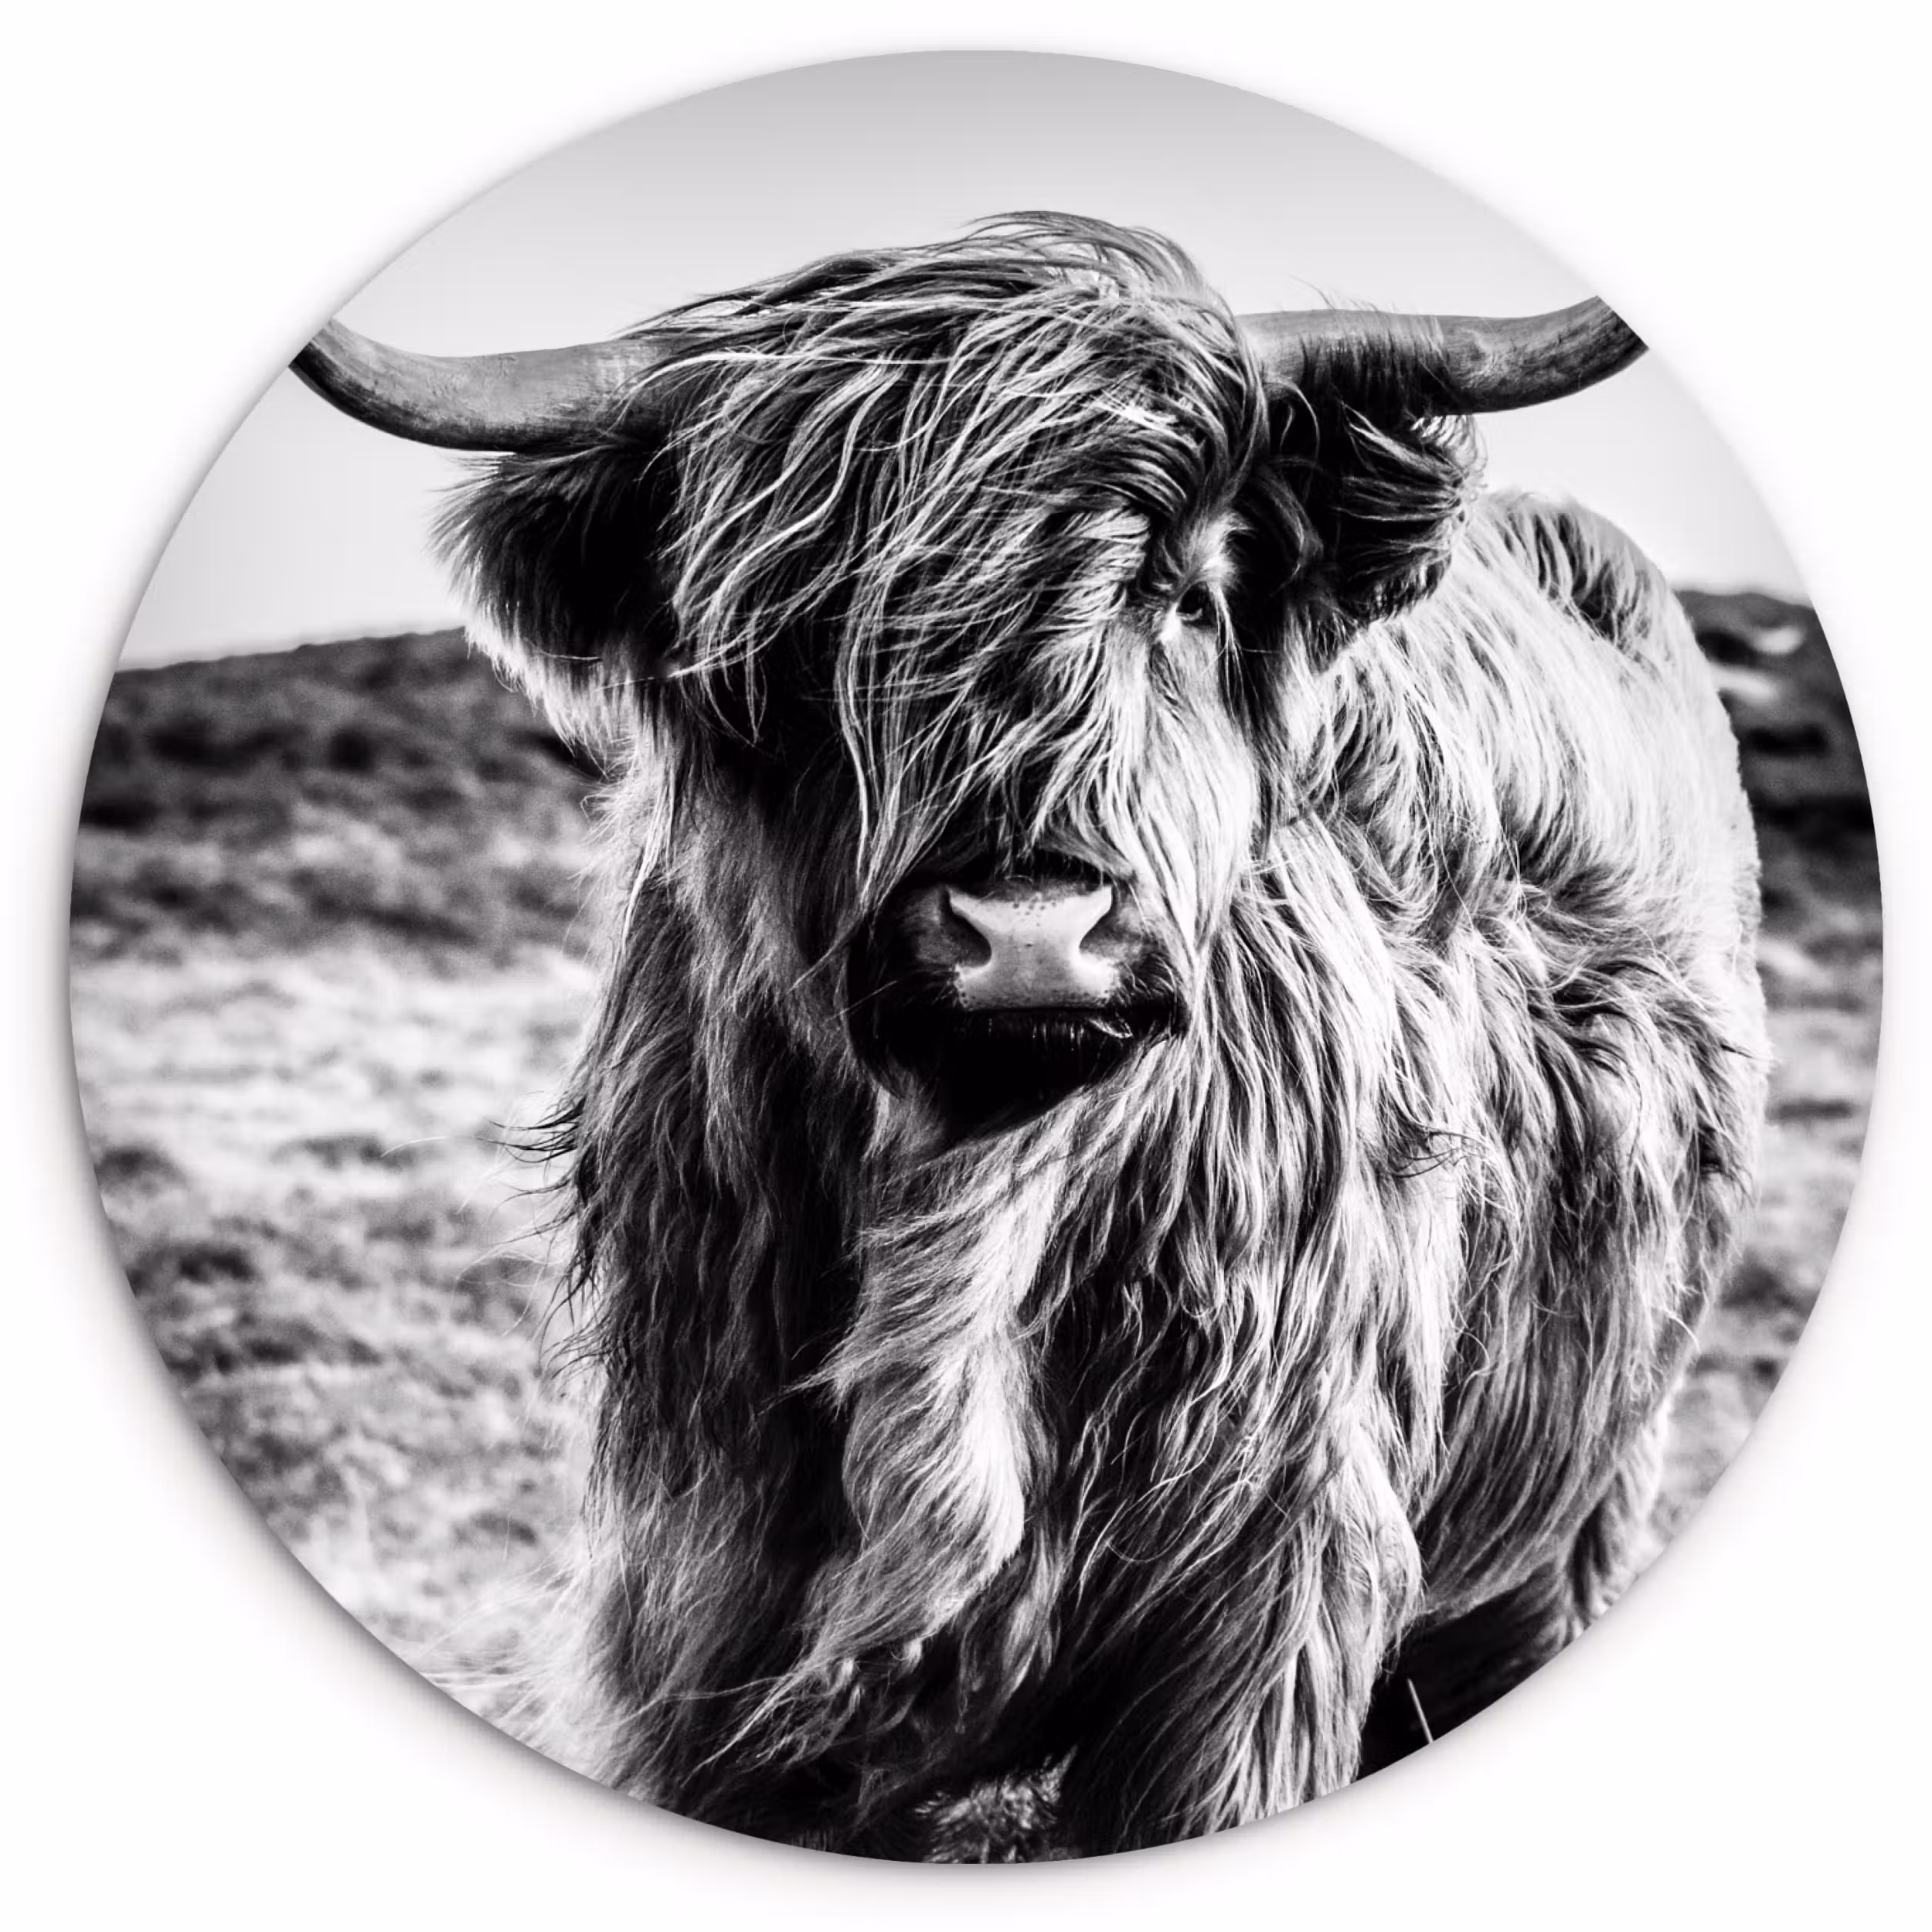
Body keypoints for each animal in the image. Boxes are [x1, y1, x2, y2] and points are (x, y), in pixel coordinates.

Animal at [293, 215, 1767, 1858]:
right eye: (802, 638)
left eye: (1187, 596)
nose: (1031, 930)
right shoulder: (708, 1611)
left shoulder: (1263, 1606)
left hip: (1580, 1504)